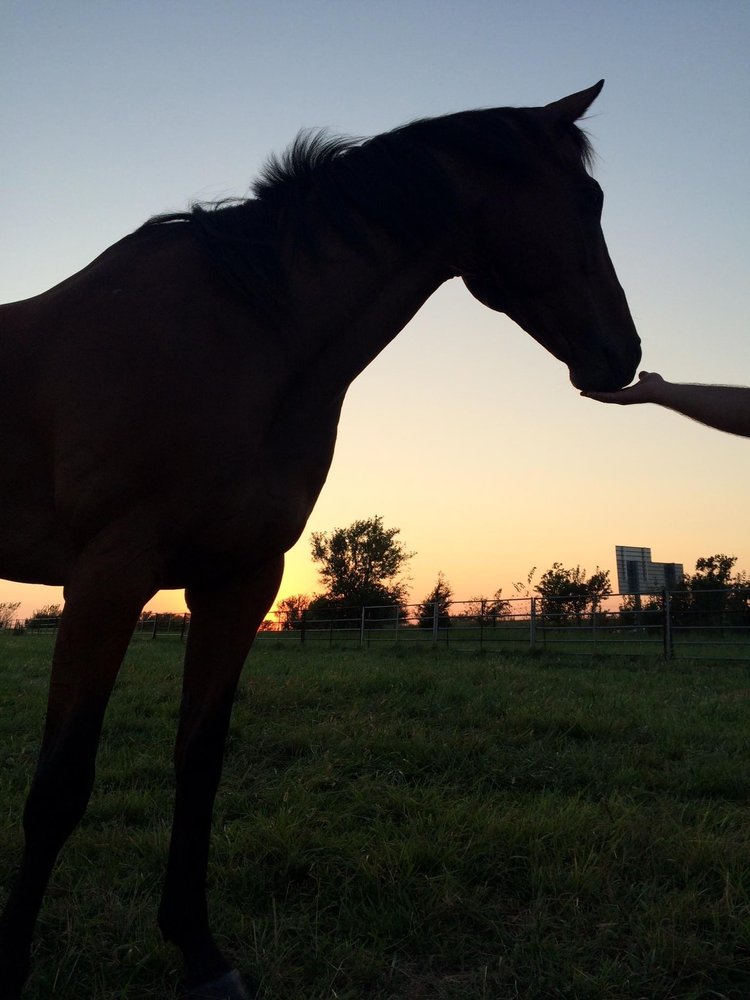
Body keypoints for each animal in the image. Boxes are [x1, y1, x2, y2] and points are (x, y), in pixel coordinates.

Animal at [0, 81, 640, 999]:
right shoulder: (107, 578)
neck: (240, 338)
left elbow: (199, 761)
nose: (623, 354)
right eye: (588, 201)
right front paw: (10, 965)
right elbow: (58, 784)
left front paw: (199, 953)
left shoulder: (240, 581)